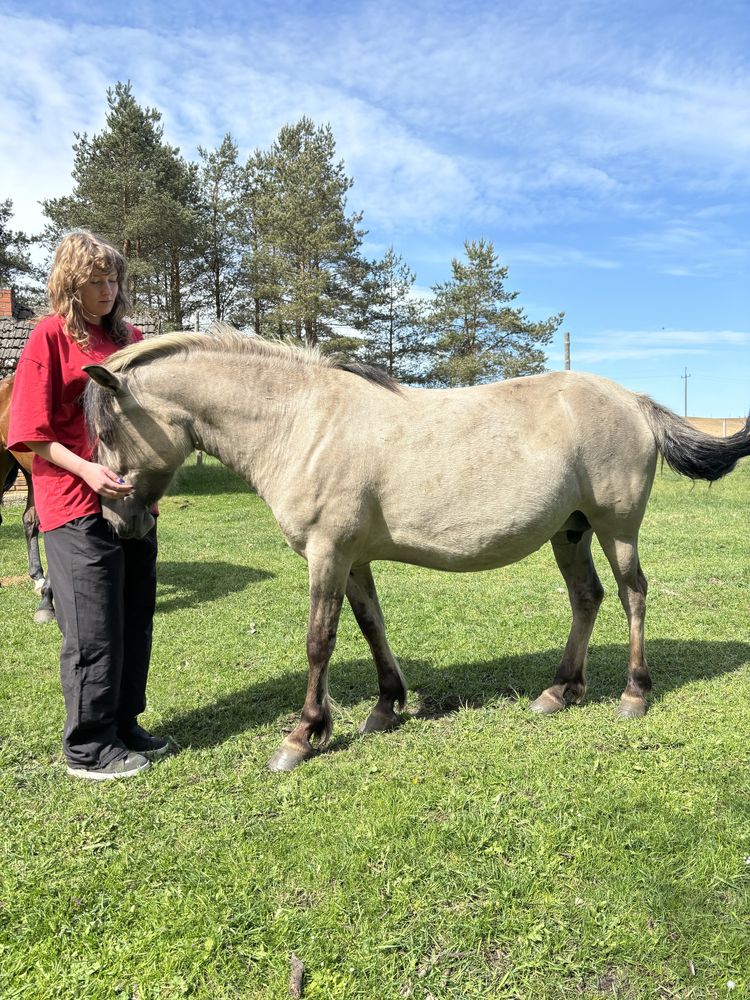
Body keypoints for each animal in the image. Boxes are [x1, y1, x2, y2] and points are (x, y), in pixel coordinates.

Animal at [81, 328, 750, 772]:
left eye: (108, 428)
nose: (116, 519)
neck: (303, 424)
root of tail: (634, 401)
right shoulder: (353, 559)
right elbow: (371, 626)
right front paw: (384, 707)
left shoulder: (327, 554)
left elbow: (319, 640)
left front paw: (302, 736)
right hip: (571, 531)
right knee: (588, 597)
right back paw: (560, 691)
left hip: (617, 529)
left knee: (634, 594)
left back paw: (635, 694)